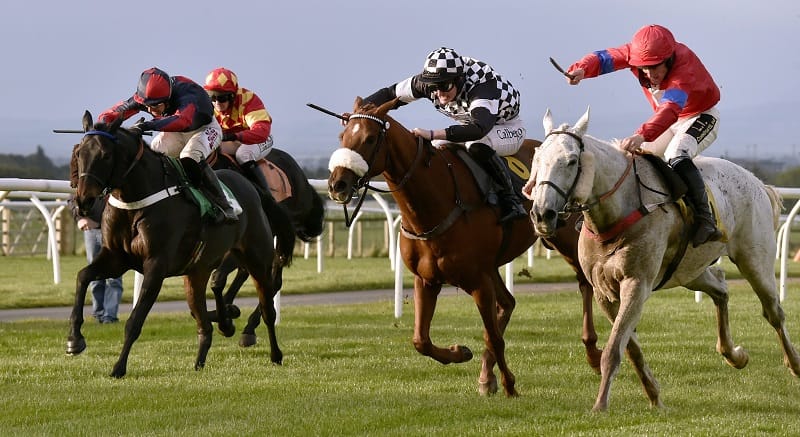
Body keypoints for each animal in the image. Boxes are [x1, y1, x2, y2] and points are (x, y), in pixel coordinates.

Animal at [67, 110, 294, 376]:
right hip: (197, 273)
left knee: (268, 307)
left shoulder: (156, 266)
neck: (137, 200)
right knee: (204, 322)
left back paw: (272, 352)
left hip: (256, 259)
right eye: (79, 153)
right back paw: (206, 352)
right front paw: (74, 339)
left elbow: (135, 321)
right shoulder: (116, 258)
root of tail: (254, 188)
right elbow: (82, 276)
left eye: (105, 155)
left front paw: (118, 367)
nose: (84, 201)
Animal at [209, 148, 328, 346]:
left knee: (273, 280)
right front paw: (224, 313)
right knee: (248, 272)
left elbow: (219, 276)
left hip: (279, 234)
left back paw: (248, 328)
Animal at [326, 97, 600, 396]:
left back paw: (592, 352)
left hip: (565, 239)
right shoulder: (428, 279)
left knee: (584, 284)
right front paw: (461, 353)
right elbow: (420, 340)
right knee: (508, 302)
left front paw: (510, 385)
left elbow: (493, 337)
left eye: (370, 138)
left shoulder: (478, 281)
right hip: (492, 265)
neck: (436, 202)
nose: (338, 184)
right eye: (342, 135)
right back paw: (486, 375)